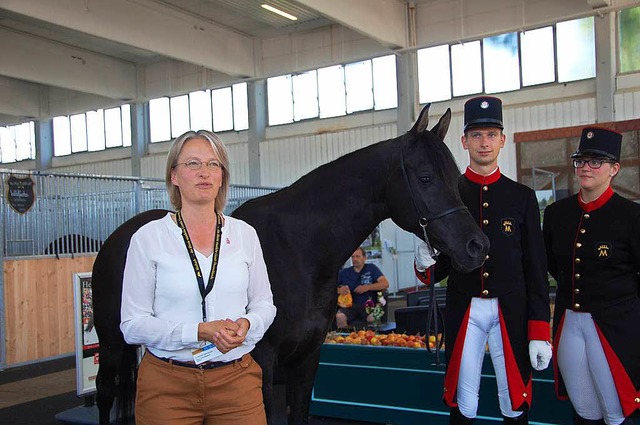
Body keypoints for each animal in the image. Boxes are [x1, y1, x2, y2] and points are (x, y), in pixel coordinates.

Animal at [91, 103, 490, 424]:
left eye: (455, 178)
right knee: (105, 393)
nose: (476, 247)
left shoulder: (307, 359)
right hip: (110, 344)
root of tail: (113, 240)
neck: (300, 252)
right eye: (425, 178)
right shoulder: (263, 361)